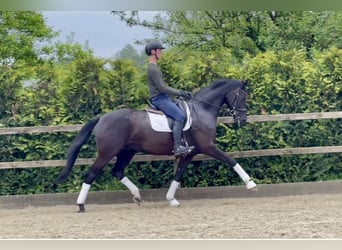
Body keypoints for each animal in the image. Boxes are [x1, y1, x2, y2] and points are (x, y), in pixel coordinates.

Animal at [56, 78, 255, 211]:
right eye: (241, 96)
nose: (243, 120)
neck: (202, 110)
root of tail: (102, 118)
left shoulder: (190, 153)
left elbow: (178, 175)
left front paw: (171, 199)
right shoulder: (208, 146)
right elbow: (231, 160)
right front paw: (250, 184)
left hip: (127, 151)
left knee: (117, 172)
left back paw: (137, 196)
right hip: (107, 152)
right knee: (91, 174)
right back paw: (81, 205)